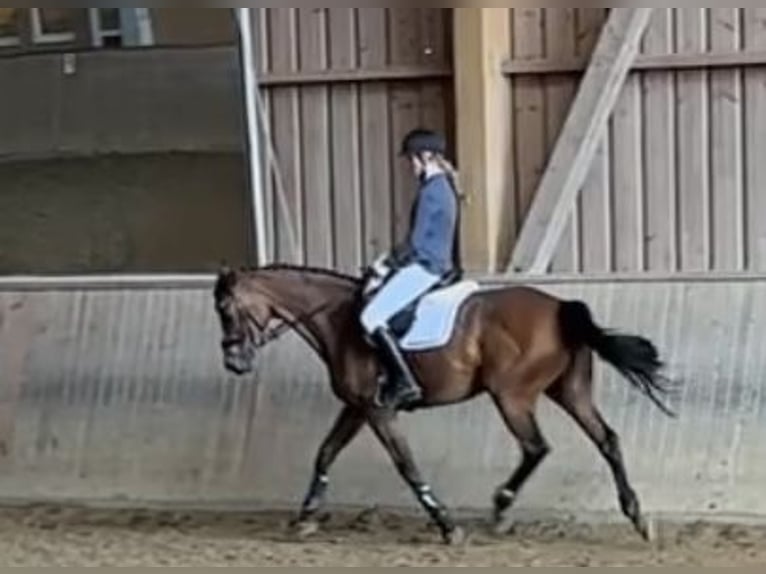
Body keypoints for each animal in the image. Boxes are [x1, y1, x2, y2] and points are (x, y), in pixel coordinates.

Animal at [212, 263, 676, 545]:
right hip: (569, 391)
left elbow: (406, 465)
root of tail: (561, 306)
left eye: (226, 310)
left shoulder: (378, 410)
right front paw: (305, 517)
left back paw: (501, 508)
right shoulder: (358, 408)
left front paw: (448, 525)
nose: (234, 364)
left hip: (512, 396)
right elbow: (325, 452)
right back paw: (636, 516)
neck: (339, 320)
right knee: (607, 440)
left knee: (536, 447)